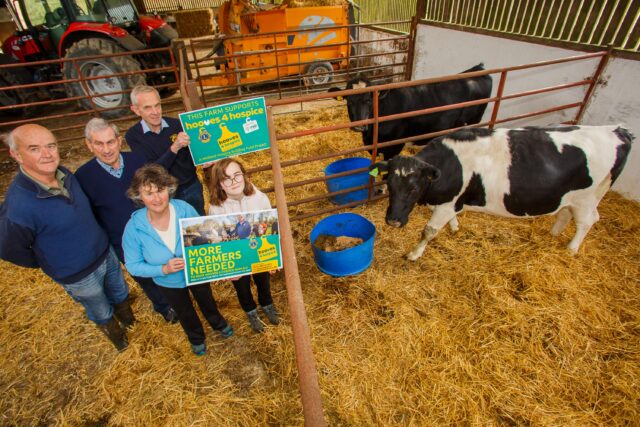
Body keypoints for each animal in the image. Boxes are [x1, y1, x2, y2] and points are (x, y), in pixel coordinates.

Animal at [332, 64, 492, 161]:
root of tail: (477, 69)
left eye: (369, 100)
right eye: (349, 101)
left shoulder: (395, 146)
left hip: (473, 123)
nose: (359, 126)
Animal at [370, 125, 636, 260]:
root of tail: (617, 130)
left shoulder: (447, 203)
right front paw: (455, 227)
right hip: (572, 196)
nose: (393, 221)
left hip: (588, 198)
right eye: (389, 184)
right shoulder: (449, 200)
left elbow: (429, 230)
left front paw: (414, 253)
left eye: (414, 188)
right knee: (565, 212)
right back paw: (553, 233)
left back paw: (571, 248)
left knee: (588, 221)